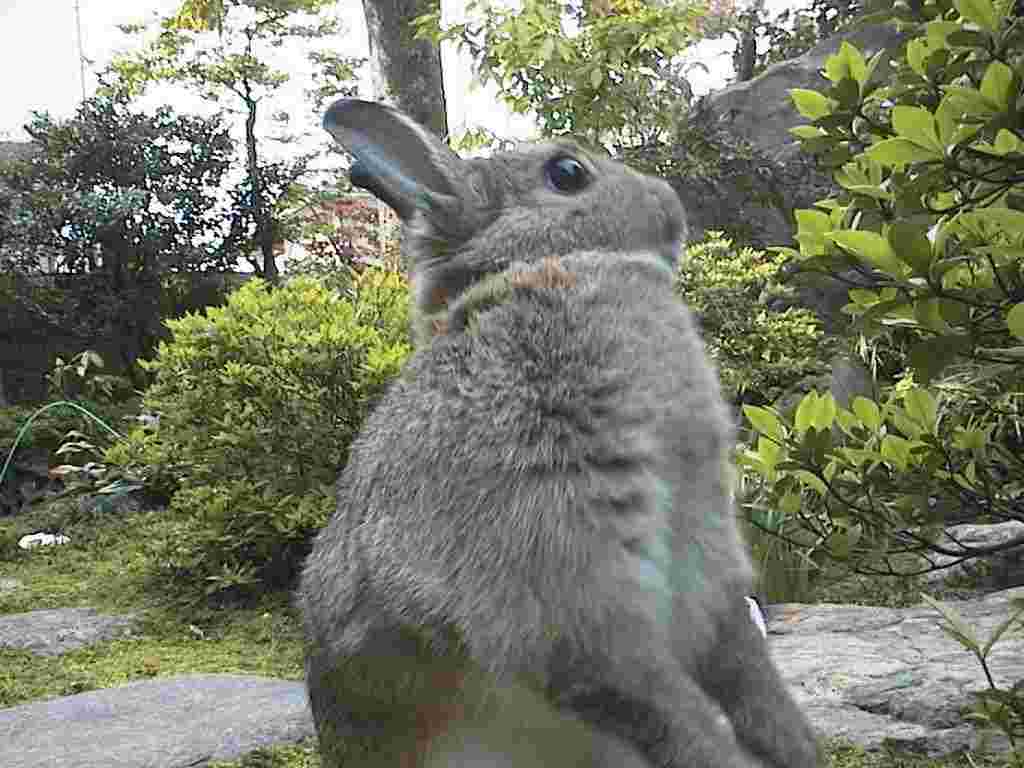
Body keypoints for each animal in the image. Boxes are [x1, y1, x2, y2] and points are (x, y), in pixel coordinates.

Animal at [298, 98, 822, 768]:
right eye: (567, 172)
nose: (670, 204)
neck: (542, 269)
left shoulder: (705, 552)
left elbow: (743, 669)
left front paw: (798, 746)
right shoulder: (563, 565)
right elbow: (650, 694)